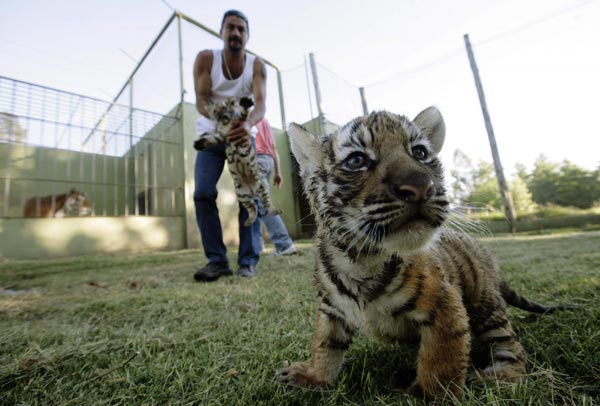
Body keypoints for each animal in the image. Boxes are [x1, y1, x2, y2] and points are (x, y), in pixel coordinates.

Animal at [196, 97, 282, 227]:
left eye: (224, 107)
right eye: (215, 111)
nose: (220, 115)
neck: (225, 122)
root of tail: (253, 192)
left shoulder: (239, 124)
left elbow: (243, 113)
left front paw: (246, 102)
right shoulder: (221, 135)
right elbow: (211, 139)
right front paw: (199, 143)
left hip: (261, 188)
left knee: (267, 204)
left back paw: (275, 210)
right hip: (242, 196)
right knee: (253, 208)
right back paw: (248, 221)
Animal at [276, 107, 568, 400]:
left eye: (419, 153)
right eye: (356, 160)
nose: (420, 186)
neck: (361, 259)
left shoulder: (444, 305)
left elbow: (440, 361)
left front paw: (429, 396)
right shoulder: (331, 309)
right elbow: (325, 346)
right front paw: (312, 377)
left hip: (485, 305)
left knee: (514, 351)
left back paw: (497, 375)